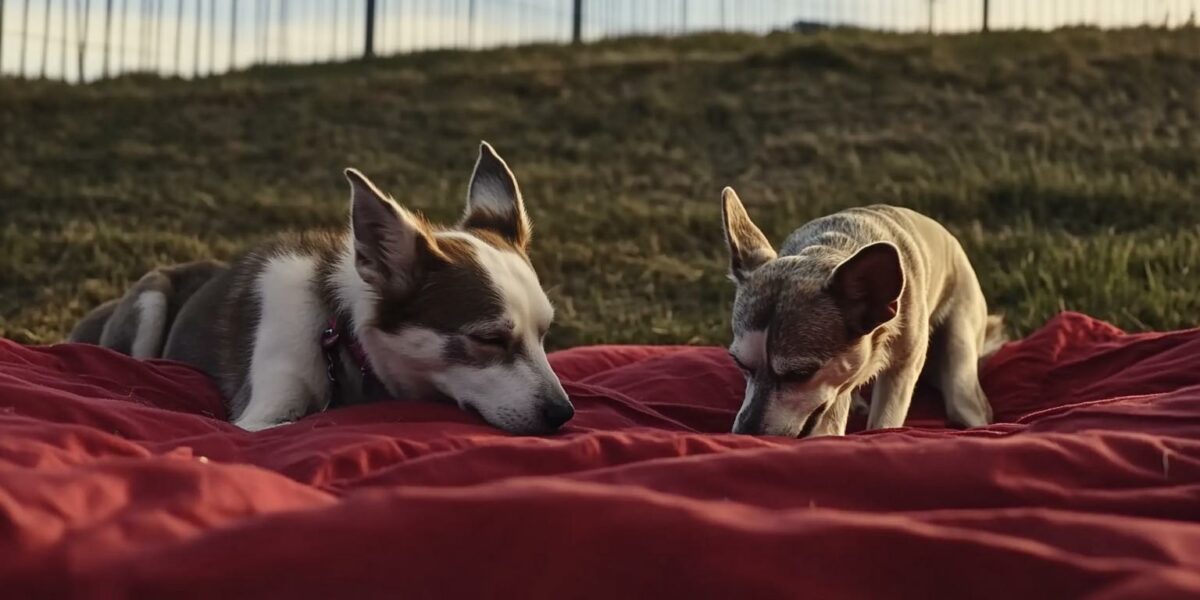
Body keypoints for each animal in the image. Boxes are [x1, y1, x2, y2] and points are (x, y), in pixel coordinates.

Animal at [71, 142, 576, 434]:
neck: (339, 333)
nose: (564, 414)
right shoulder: (260, 419)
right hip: (151, 297)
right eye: (488, 339)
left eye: (545, 335)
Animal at [715, 189, 1008, 439]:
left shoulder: (902, 367)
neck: (832, 248)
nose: (746, 434)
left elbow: (884, 422)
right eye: (739, 364)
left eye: (800, 375)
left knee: (967, 401)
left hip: (960, 341)